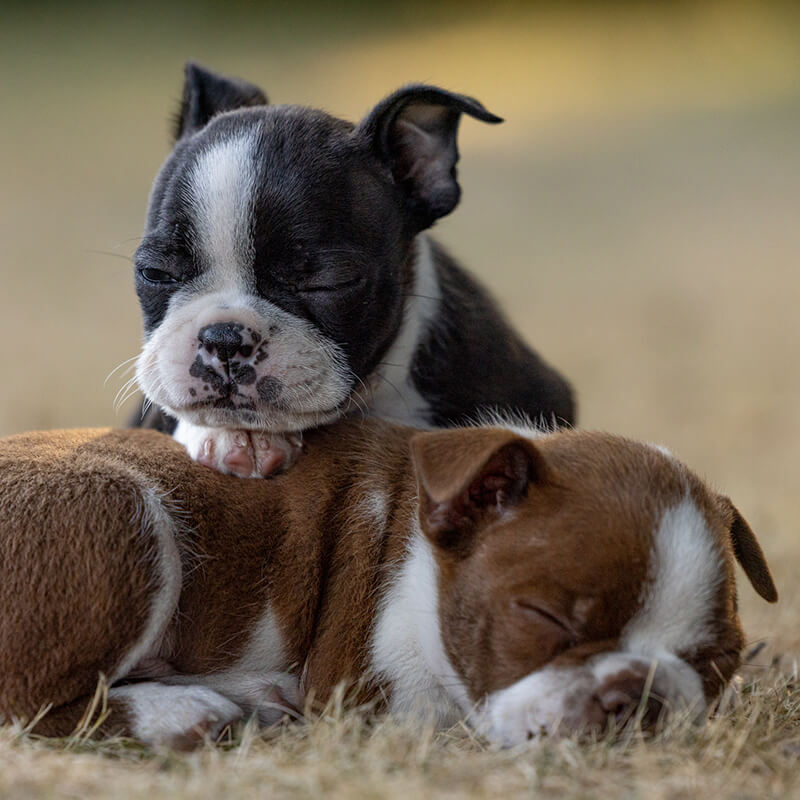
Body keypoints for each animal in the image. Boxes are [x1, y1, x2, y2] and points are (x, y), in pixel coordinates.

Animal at [0, 422, 780, 748]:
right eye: (546, 619)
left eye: (718, 663)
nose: (638, 696)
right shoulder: (372, 690)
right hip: (116, 511)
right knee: (27, 704)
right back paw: (181, 715)